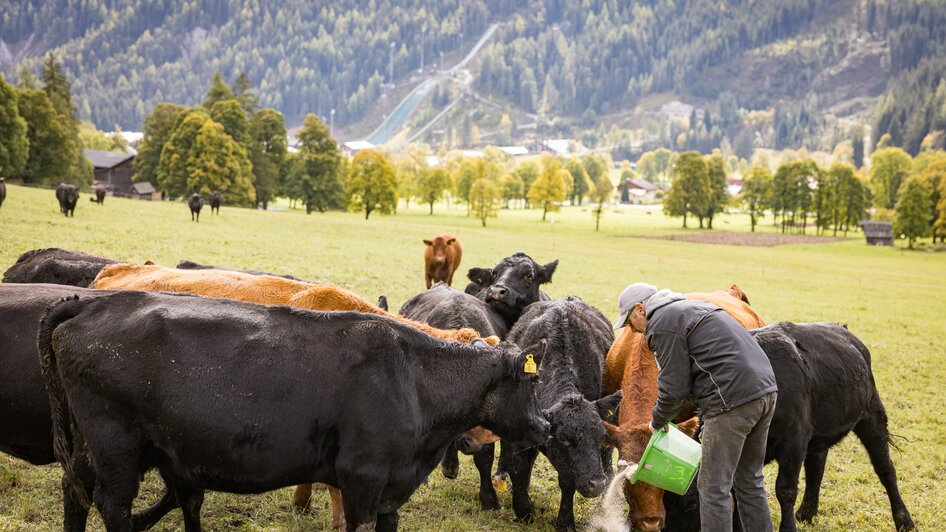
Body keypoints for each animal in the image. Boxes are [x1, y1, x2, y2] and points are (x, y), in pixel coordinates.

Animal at [498, 298, 624, 528]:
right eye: (565, 440)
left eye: (600, 436)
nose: (596, 483)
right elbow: (518, 467)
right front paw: (523, 510)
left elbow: (567, 481)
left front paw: (565, 521)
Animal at [660, 320, 912, 532]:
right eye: (665, 500)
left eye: (691, 504)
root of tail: (844, 331)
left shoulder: (794, 441)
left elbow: (785, 489)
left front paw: (787, 527)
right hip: (819, 435)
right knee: (816, 467)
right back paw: (806, 512)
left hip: (872, 417)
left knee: (885, 469)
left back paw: (904, 521)